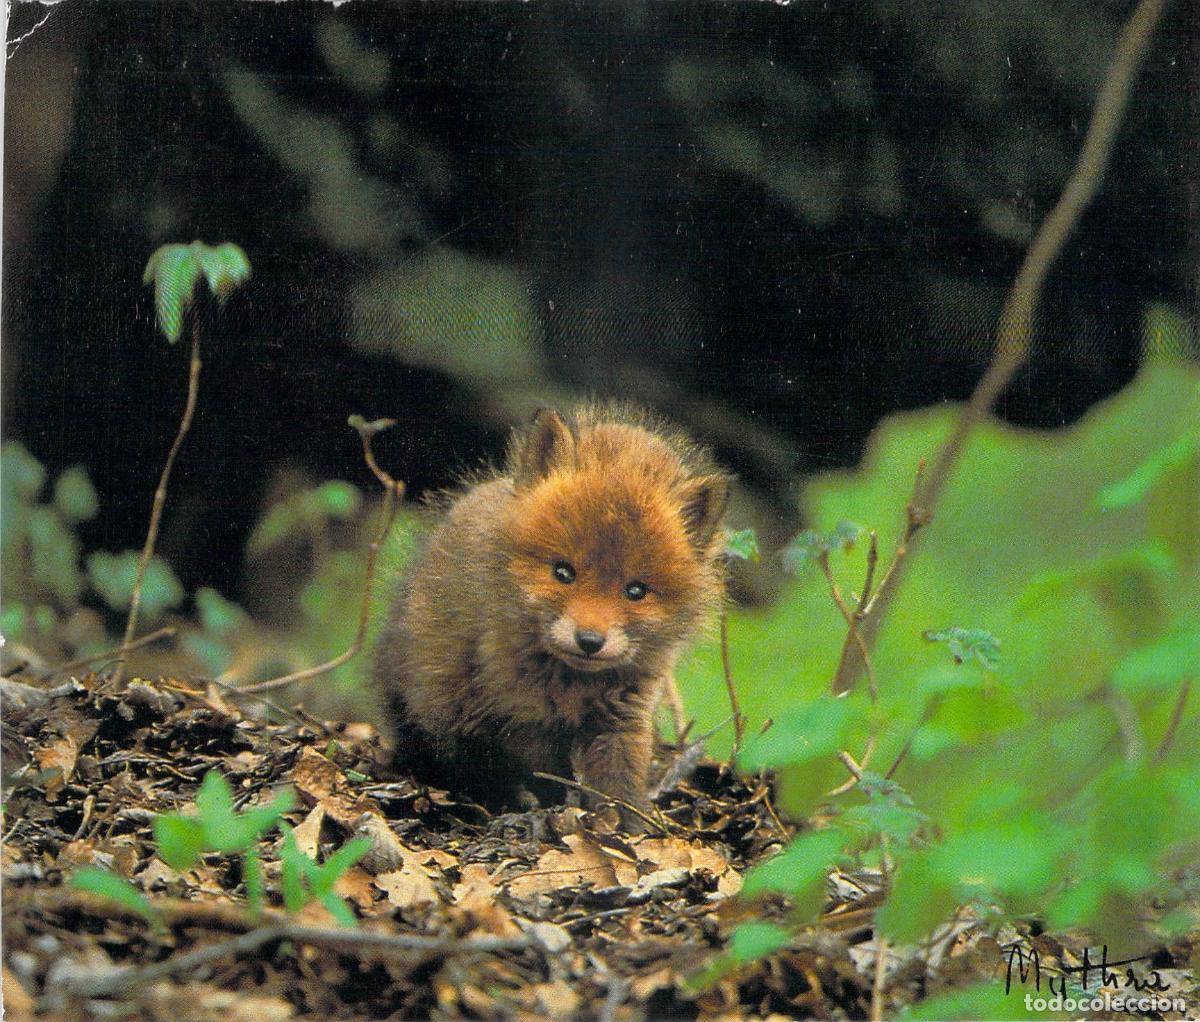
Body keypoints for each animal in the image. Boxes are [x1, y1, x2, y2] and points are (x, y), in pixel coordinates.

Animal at [373, 404, 731, 824]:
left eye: (635, 591)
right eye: (563, 572)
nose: (589, 640)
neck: (572, 682)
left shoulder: (623, 713)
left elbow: (620, 776)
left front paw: (630, 822)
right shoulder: (519, 712)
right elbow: (544, 774)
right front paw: (556, 811)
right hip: (438, 706)